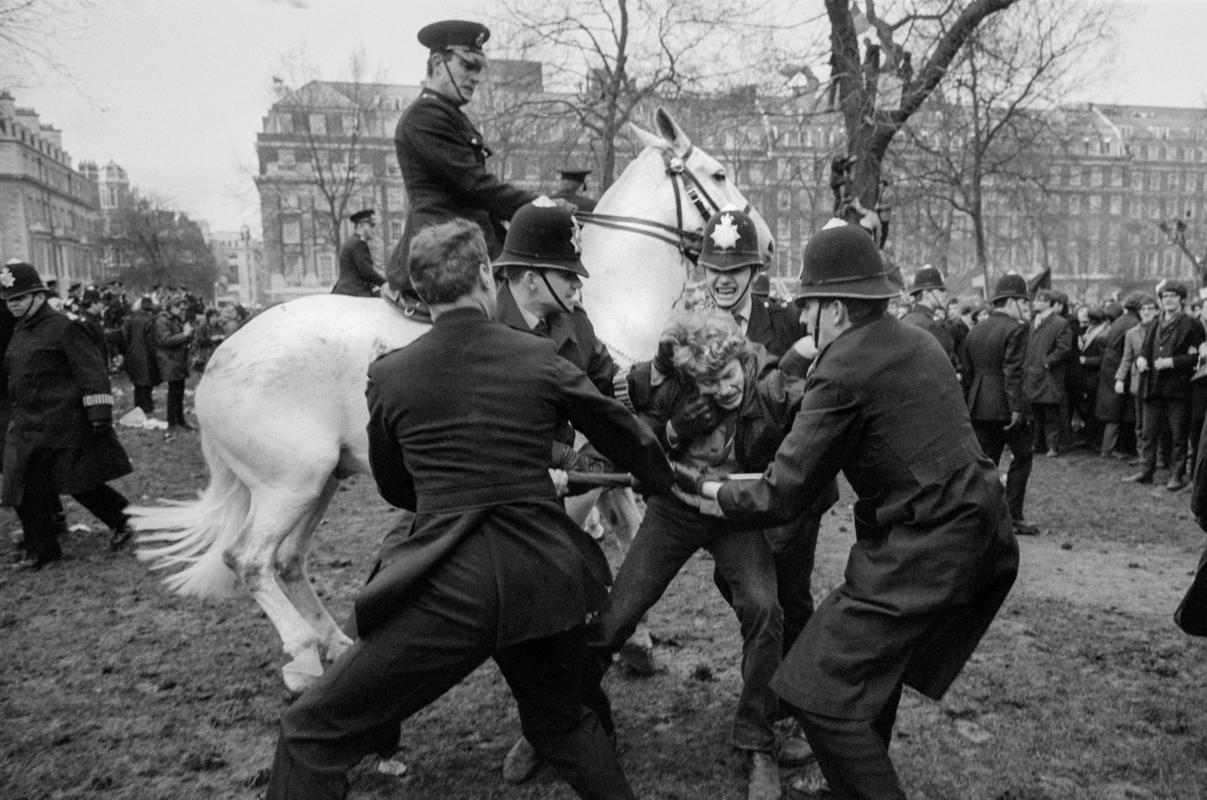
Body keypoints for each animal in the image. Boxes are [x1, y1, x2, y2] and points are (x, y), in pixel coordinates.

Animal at [132, 109, 772, 690]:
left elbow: (629, 527)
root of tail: (219, 358)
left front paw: (634, 638)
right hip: (290, 484)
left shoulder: (611, 448)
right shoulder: (580, 464)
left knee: (286, 561)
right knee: (250, 560)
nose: (764, 241)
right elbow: (588, 529)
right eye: (718, 173)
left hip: (318, 481)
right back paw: (305, 654)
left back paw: (333, 641)